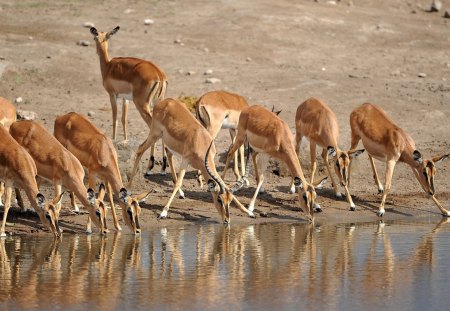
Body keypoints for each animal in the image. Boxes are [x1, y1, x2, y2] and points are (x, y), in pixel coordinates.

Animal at [89, 25, 169, 177]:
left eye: (96, 37)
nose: (96, 50)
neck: (108, 66)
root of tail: (159, 75)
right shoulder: (125, 99)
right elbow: (124, 119)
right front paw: (124, 141)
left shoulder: (112, 95)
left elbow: (114, 118)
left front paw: (114, 141)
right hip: (157, 103)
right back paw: (162, 168)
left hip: (142, 105)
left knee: (153, 127)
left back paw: (150, 167)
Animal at [126, 98, 255, 223]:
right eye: (219, 199)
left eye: (230, 200)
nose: (227, 220)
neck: (200, 141)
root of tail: (164, 101)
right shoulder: (185, 160)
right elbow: (178, 183)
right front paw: (163, 212)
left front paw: (248, 212)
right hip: (155, 134)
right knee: (140, 149)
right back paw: (128, 189)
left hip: (166, 141)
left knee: (168, 154)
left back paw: (182, 194)